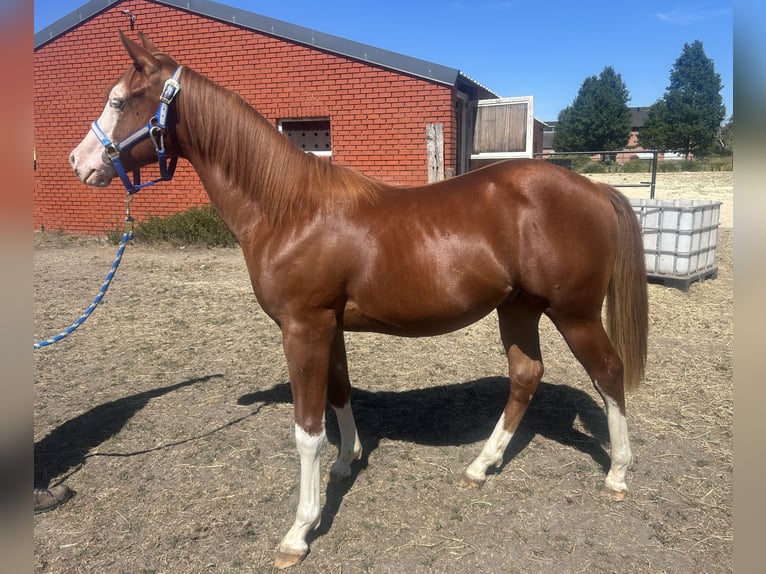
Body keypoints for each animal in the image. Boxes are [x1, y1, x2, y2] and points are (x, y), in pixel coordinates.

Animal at [69, 32, 648, 569]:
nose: (78, 163)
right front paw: (347, 460)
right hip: (519, 308)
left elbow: (306, 430)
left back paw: (618, 474)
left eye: (119, 101)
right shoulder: (329, 327)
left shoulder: (303, 328)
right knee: (526, 375)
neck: (289, 209)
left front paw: (299, 531)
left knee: (609, 373)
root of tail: (596, 190)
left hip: (573, 314)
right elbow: (340, 392)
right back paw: (481, 467)